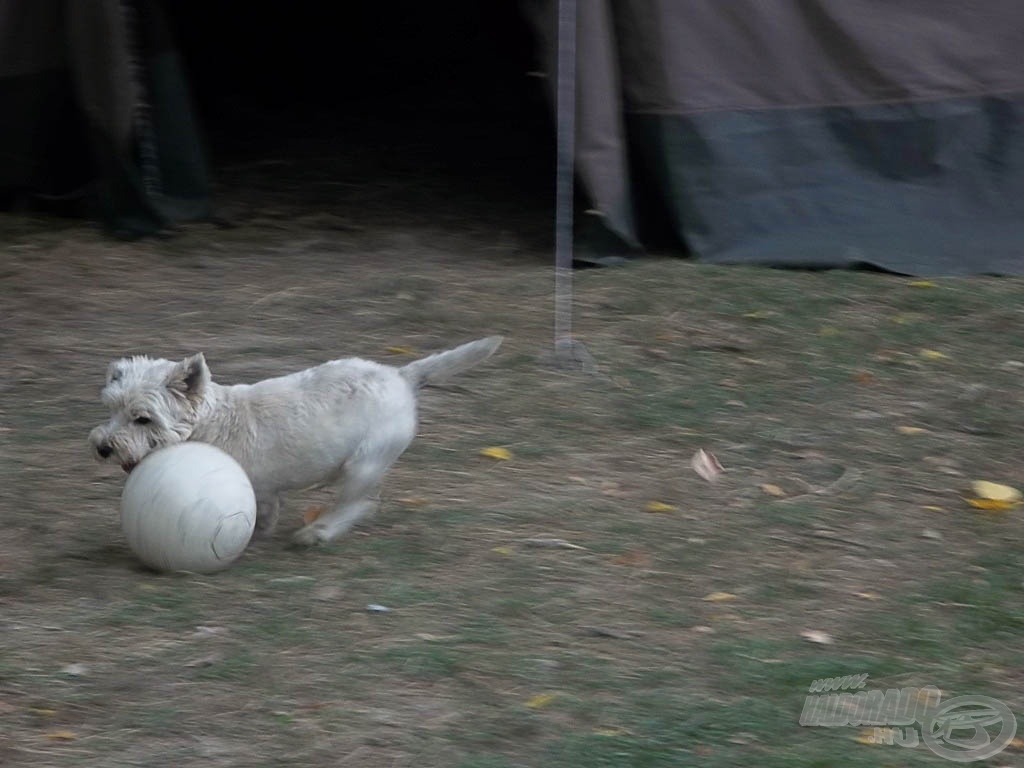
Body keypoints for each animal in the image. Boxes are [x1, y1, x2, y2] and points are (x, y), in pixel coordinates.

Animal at [92, 337, 503, 548]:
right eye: (112, 409)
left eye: (143, 419)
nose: (103, 447)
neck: (210, 423)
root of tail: (400, 375)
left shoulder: (257, 487)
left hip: (363, 463)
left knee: (360, 502)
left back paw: (318, 532)